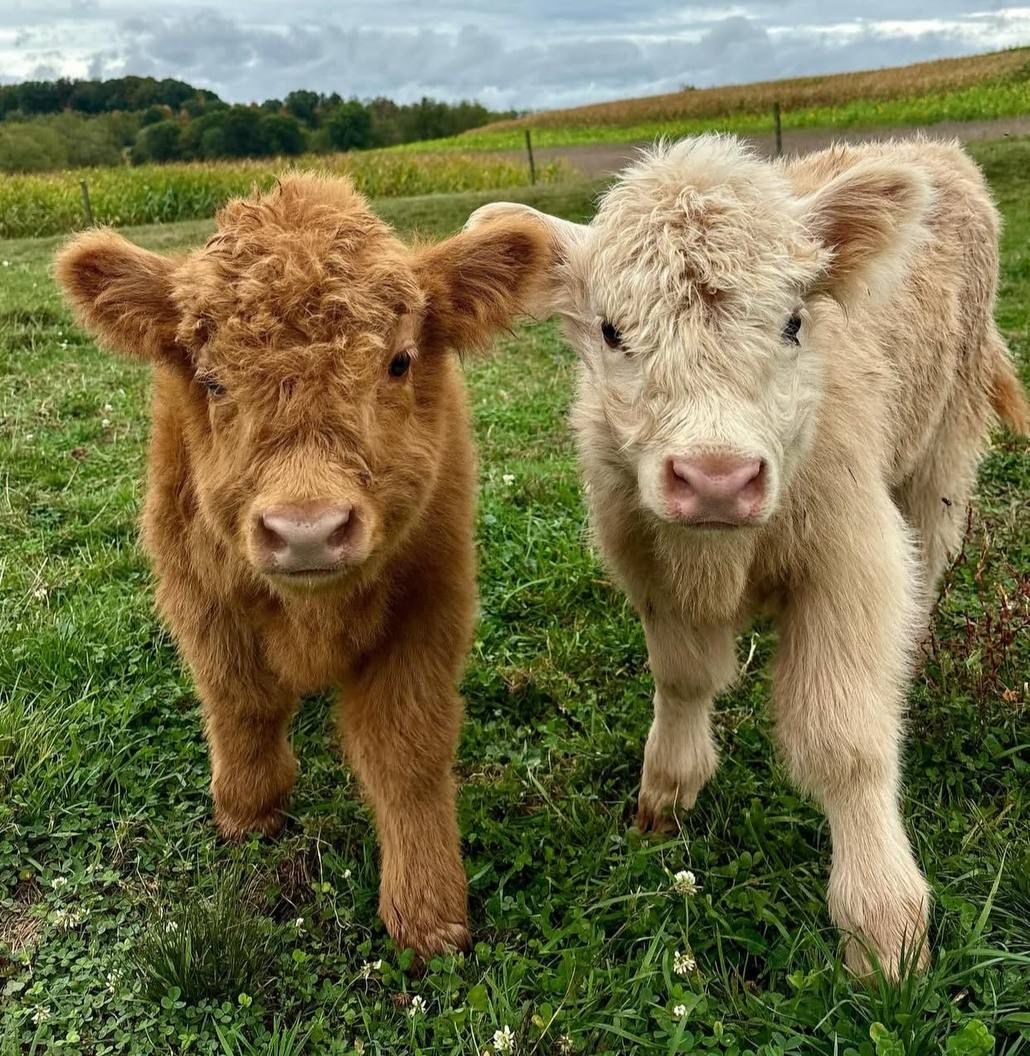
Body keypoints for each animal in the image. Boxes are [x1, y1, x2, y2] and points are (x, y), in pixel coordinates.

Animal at [55, 174, 550, 960]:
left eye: (398, 362)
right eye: (212, 380)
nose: (307, 531)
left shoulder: (430, 603)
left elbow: (406, 749)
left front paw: (428, 912)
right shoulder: (200, 595)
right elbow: (242, 702)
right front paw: (248, 809)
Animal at [466, 135, 1028, 976]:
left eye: (794, 322)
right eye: (611, 331)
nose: (717, 478)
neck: (720, 555)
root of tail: (928, 148)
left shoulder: (852, 558)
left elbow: (845, 741)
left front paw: (884, 926)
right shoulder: (647, 559)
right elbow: (684, 677)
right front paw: (666, 794)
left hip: (941, 460)